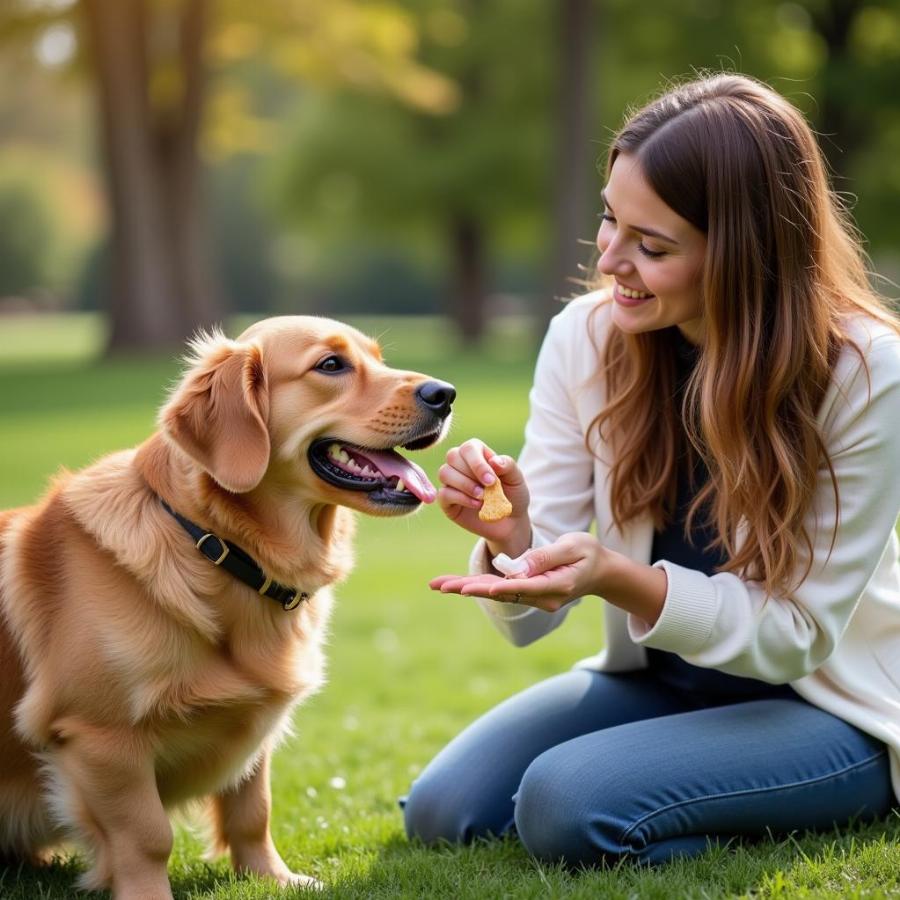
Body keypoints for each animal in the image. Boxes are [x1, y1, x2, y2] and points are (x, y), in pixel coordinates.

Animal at [0, 314, 454, 892]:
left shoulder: (251, 723)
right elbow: (146, 836)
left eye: (379, 358)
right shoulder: (100, 736)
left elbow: (252, 812)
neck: (215, 546)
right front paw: (149, 895)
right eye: (331, 365)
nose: (446, 394)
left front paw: (273, 879)